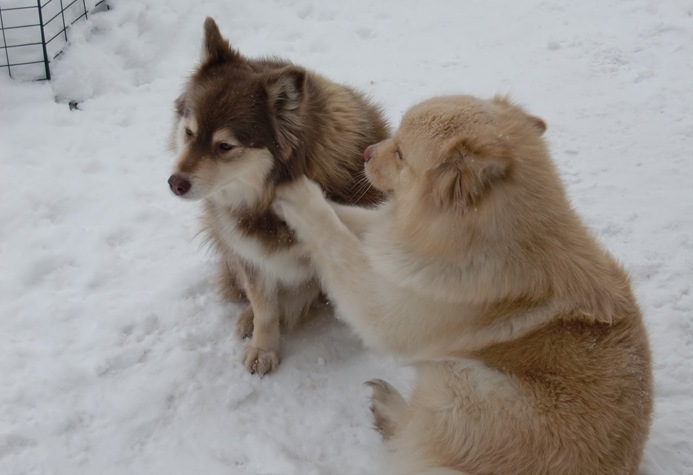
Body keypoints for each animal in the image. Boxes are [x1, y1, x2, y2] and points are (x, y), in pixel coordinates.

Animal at [166, 17, 386, 376]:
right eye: (188, 133)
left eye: (225, 146)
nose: (175, 183)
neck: (265, 197)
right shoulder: (249, 254)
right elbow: (264, 305)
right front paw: (264, 345)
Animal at [274, 95, 652, 474]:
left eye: (401, 155)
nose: (367, 152)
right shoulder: (398, 254)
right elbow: (354, 219)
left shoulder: (386, 310)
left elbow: (334, 239)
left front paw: (297, 195)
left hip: (459, 380)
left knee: (409, 441)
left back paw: (387, 409)